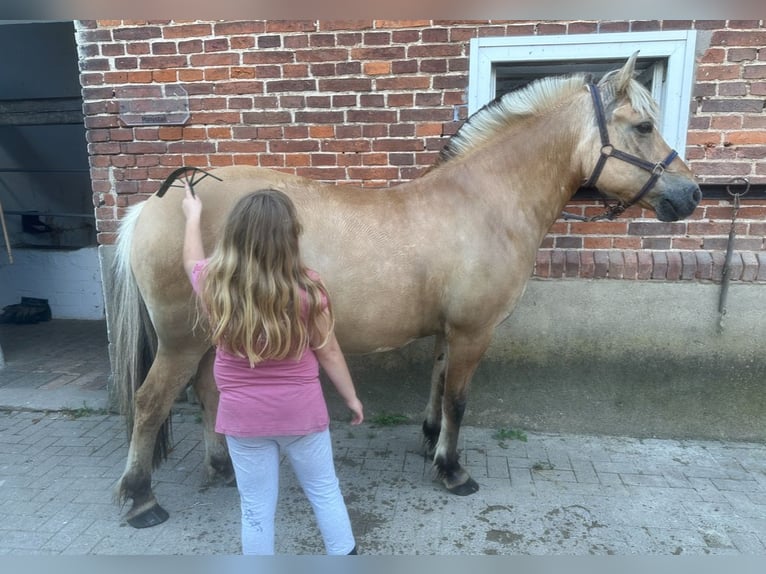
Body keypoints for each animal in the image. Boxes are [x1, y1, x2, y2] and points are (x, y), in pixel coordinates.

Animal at [109, 55, 704, 532]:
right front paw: (453, 471)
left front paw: (430, 444)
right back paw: (141, 500)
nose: (692, 194)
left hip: (213, 333)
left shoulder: (450, 331)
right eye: (643, 125)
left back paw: (224, 468)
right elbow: (459, 399)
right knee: (151, 401)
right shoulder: (474, 331)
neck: (484, 203)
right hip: (182, 340)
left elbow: (438, 387)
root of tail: (157, 203)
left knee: (209, 393)